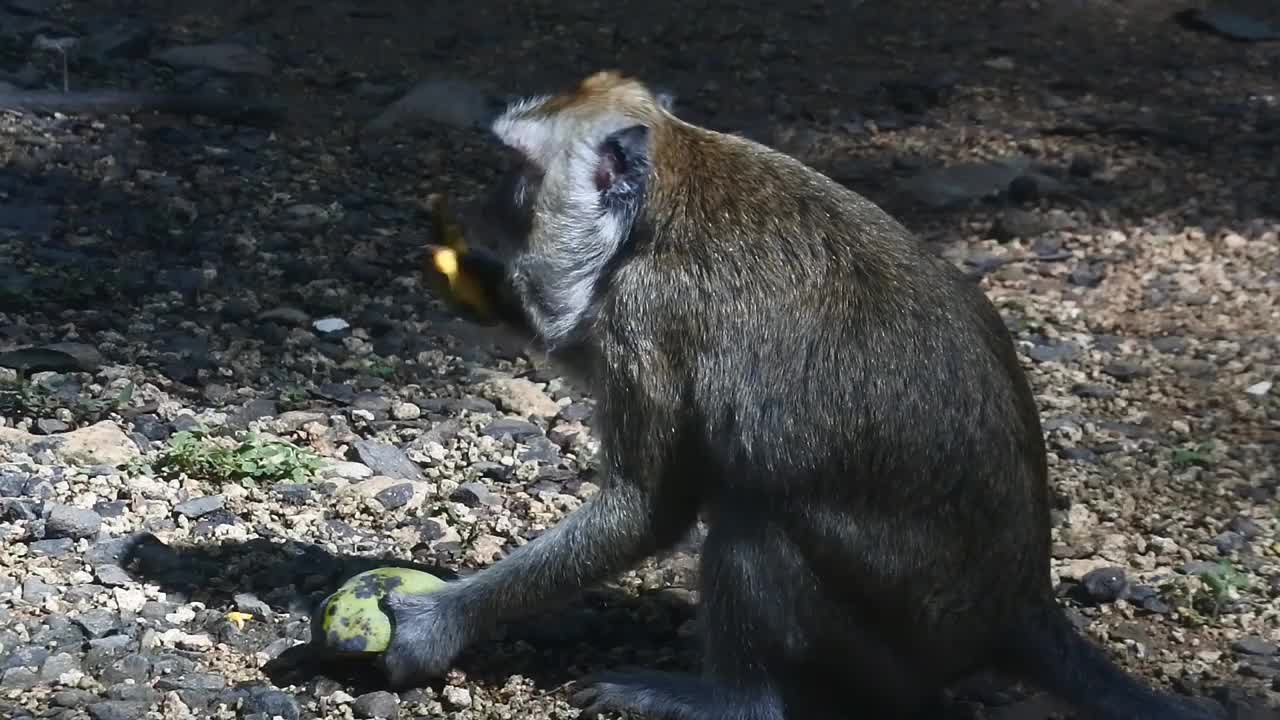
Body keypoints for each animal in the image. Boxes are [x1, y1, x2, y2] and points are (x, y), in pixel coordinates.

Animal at [391, 68, 1228, 717]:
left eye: (519, 169)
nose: (489, 202)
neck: (673, 186)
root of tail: (1023, 601)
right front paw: (479, 280)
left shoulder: (647, 316)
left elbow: (646, 509)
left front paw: (439, 622)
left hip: (898, 651)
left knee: (754, 529)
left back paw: (729, 700)